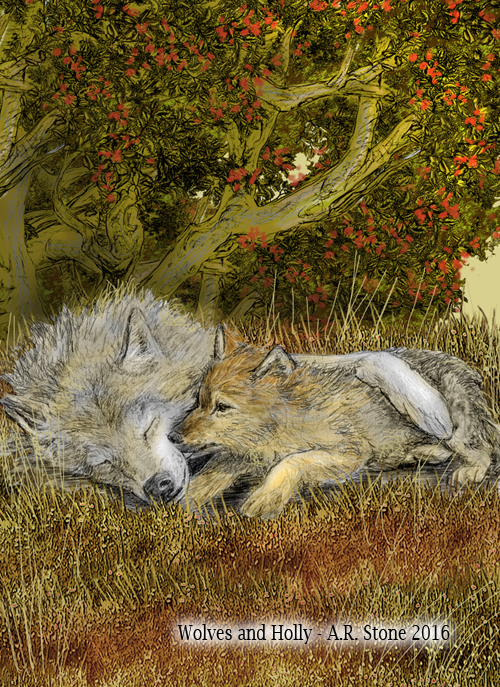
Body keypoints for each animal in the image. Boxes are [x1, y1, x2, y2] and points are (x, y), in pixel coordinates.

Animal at [178, 326, 500, 519]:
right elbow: (214, 469)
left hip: (448, 420)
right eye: (199, 401)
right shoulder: (245, 451)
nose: (175, 436)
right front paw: (185, 501)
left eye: (222, 407)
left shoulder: (350, 451)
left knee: (479, 448)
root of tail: (468, 370)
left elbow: (292, 462)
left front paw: (264, 501)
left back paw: (467, 471)